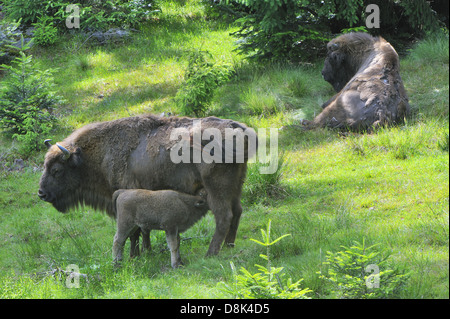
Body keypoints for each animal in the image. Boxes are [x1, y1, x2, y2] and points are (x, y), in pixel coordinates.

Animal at [38, 115, 256, 258]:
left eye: (56, 170)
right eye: (44, 165)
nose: (41, 194)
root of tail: (240, 129)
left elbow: (135, 231)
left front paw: (135, 256)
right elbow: (144, 229)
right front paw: (146, 251)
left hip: (216, 189)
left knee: (224, 216)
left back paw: (211, 253)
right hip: (236, 186)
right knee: (237, 212)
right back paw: (229, 246)